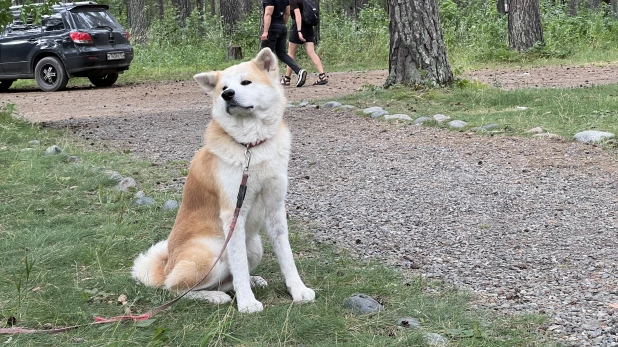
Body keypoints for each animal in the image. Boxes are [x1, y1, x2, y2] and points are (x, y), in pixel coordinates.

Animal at [130, 47, 312, 314]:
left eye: (245, 82)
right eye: (223, 87)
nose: (228, 95)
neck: (250, 146)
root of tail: (164, 268)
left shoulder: (275, 209)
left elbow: (286, 257)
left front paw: (298, 290)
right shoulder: (232, 214)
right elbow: (238, 264)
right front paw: (247, 303)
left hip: (254, 247)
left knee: (227, 279)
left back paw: (250, 281)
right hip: (212, 254)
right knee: (176, 288)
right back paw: (215, 297)